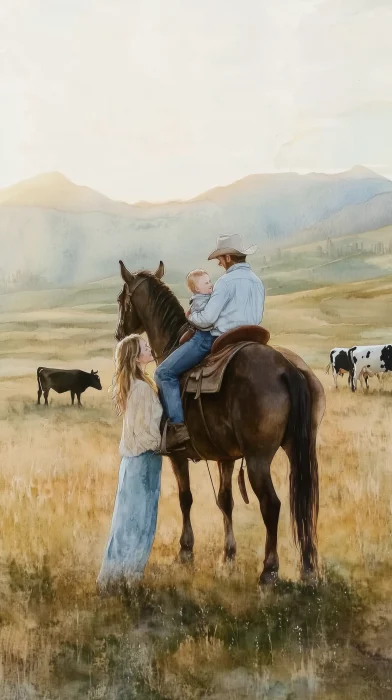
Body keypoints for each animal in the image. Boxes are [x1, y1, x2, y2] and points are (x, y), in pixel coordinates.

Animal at [115, 260, 326, 584]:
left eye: (120, 300)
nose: (119, 332)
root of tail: (286, 367)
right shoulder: (225, 457)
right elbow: (226, 500)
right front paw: (228, 555)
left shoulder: (176, 455)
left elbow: (185, 498)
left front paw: (185, 550)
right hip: (299, 449)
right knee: (303, 500)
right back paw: (308, 568)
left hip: (258, 459)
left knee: (272, 504)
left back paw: (269, 570)